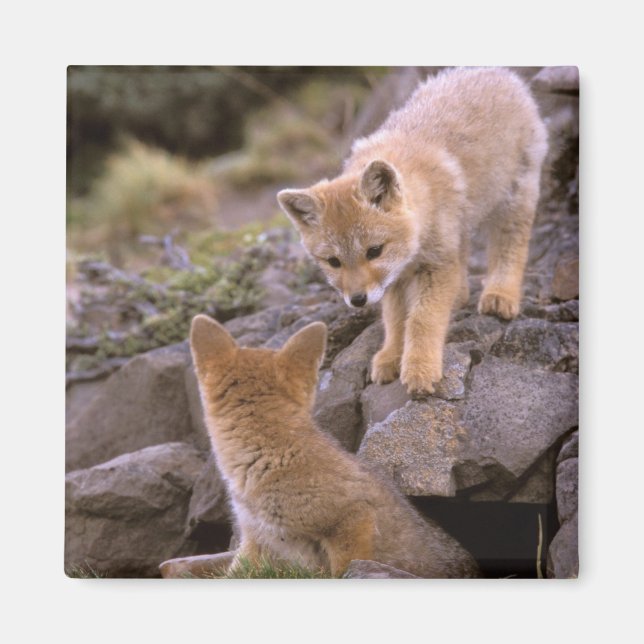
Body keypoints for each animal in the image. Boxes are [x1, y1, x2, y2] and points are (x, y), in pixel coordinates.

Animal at [278, 67, 548, 396]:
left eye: (374, 251)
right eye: (333, 262)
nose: (357, 300)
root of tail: (497, 73)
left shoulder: (436, 265)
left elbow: (421, 319)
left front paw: (420, 367)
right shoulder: (396, 279)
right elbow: (396, 321)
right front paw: (391, 356)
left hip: (513, 202)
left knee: (511, 246)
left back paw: (500, 294)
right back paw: (461, 295)